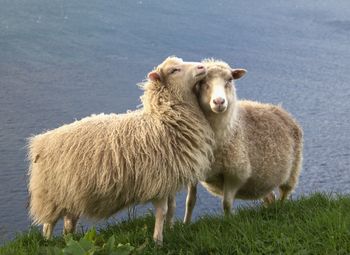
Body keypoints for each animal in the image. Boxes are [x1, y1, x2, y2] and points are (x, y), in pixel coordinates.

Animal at [27, 55, 215, 243]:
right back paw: (48, 242)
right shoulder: (158, 179)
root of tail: (41, 141)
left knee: (68, 222)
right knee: (48, 224)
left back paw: (69, 239)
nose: (202, 67)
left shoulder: (170, 177)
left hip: (71, 195)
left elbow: (172, 208)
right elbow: (162, 212)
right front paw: (158, 241)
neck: (163, 119)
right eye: (174, 70)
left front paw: (170, 230)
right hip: (51, 196)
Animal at [182, 59, 302, 223]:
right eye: (202, 81)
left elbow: (226, 204)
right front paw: (185, 224)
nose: (219, 101)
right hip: (260, 183)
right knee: (270, 197)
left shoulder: (235, 173)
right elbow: (190, 202)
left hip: (292, 171)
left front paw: (228, 223)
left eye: (229, 80)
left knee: (284, 194)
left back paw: (281, 212)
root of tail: (281, 110)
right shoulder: (194, 168)